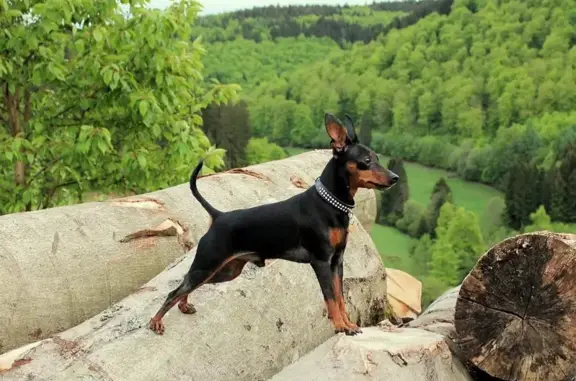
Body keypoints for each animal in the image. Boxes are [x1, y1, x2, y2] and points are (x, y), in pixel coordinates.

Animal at [148, 113, 398, 336]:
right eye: (367, 161)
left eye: (377, 158)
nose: (395, 178)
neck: (329, 204)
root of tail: (218, 216)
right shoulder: (321, 262)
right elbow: (330, 298)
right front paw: (340, 326)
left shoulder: (337, 262)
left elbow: (340, 298)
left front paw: (348, 324)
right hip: (208, 264)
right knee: (174, 291)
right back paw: (156, 322)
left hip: (225, 271)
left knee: (186, 285)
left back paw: (183, 305)